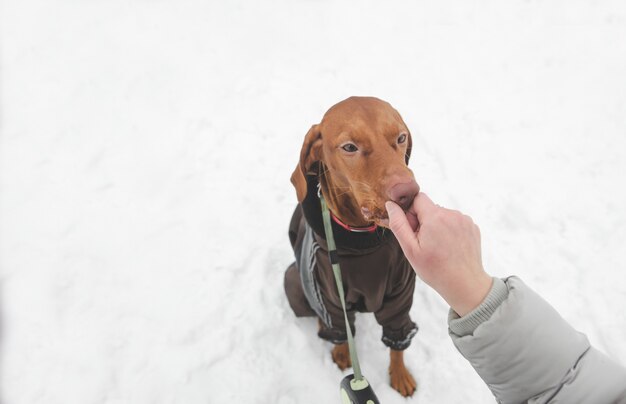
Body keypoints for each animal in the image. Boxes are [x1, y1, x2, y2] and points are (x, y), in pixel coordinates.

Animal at [286, 96, 416, 396]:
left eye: (401, 137)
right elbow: (341, 332)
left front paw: (400, 374)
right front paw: (343, 354)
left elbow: (397, 341)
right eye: (349, 147)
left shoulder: (401, 295)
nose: (408, 194)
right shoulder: (330, 296)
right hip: (293, 283)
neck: (362, 240)